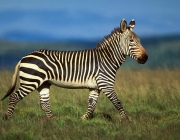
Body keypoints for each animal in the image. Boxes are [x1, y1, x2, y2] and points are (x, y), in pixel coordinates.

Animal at [1, 18, 148, 121]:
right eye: (131, 41)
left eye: (139, 40)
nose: (145, 58)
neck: (107, 58)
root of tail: (23, 57)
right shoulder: (106, 84)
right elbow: (117, 102)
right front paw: (126, 121)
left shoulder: (95, 87)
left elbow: (91, 105)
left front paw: (82, 120)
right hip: (30, 81)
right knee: (14, 97)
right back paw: (8, 119)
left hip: (43, 83)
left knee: (44, 103)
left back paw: (54, 122)